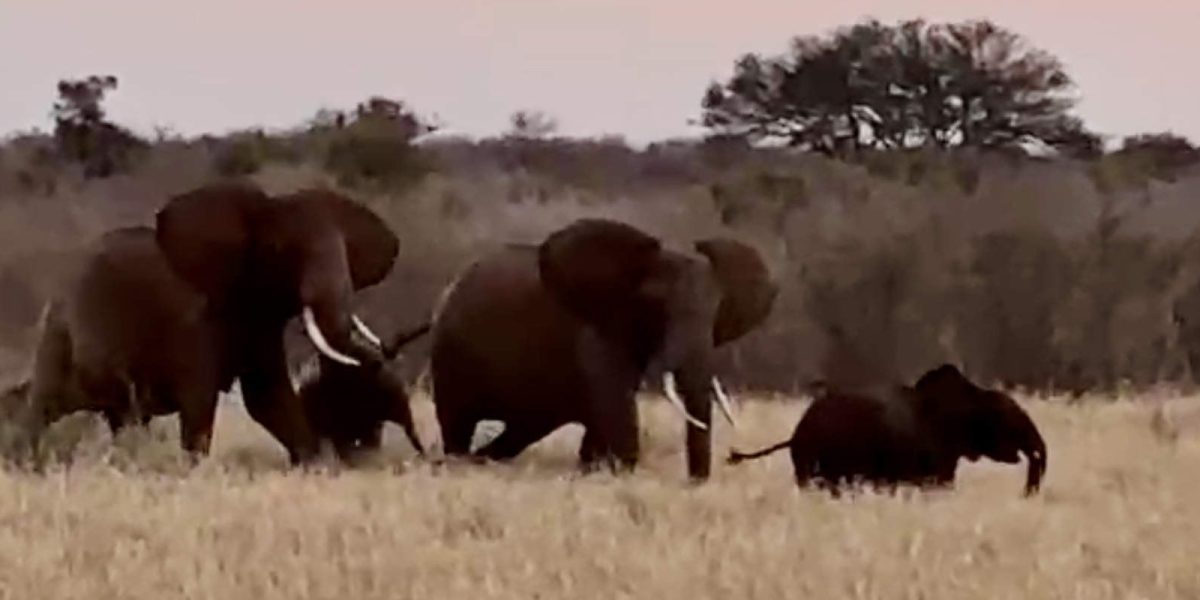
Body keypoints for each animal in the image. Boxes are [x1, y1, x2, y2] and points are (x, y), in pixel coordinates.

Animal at [16, 181, 400, 464]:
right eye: (284, 250)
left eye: (348, 251)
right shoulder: (194, 320)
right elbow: (200, 402)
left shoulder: (260, 320)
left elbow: (269, 399)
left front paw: (316, 465)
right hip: (59, 332)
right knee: (46, 407)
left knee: (121, 416)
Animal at [428, 217, 779, 481]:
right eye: (655, 304)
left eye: (717, 312)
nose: (695, 482)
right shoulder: (596, 331)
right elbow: (615, 406)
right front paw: (619, 473)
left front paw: (594, 471)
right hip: (450, 352)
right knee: (458, 423)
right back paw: (460, 463)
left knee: (521, 430)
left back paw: (481, 460)